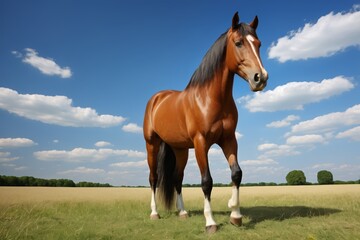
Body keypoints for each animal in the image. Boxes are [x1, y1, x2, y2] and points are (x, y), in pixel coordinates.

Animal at [143, 11, 268, 232]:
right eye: (238, 43)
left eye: (259, 44)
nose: (260, 78)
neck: (210, 99)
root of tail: (157, 98)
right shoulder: (201, 143)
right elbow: (206, 181)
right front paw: (210, 222)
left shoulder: (229, 140)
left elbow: (237, 173)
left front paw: (235, 214)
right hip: (152, 145)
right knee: (153, 178)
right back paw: (154, 213)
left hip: (180, 150)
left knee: (177, 178)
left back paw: (183, 212)